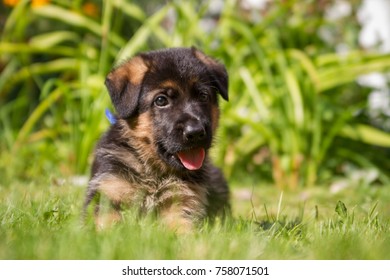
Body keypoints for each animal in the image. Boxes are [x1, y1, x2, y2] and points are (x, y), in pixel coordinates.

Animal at [82, 47, 229, 232]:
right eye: (161, 100)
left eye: (203, 96)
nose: (195, 132)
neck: (154, 174)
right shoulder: (107, 193)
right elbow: (106, 223)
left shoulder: (181, 204)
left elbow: (182, 228)